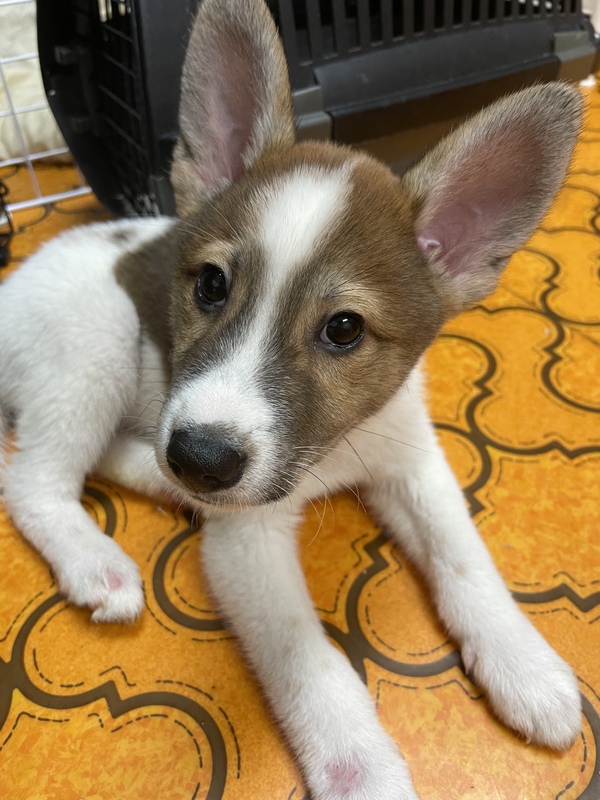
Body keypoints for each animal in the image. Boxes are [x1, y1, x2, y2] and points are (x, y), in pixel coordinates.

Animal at [0, 0, 583, 797]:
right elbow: (308, 659)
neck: (331, 449)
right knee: (32, 480)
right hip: (97, 341)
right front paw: (360, 765)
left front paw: (524, 663)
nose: (201, 460)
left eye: (344, 329)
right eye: (211, 285)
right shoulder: (248, 541)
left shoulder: (412, 460)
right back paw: (98, 561)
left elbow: (466, 559)